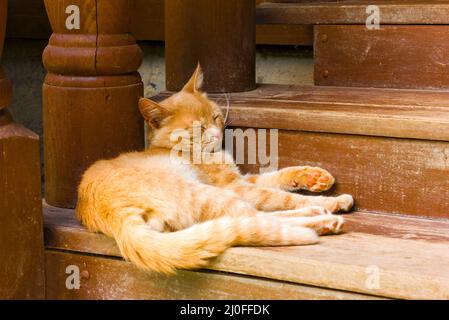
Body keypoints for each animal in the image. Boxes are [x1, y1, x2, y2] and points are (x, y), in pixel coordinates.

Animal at [76, 65, 354, 276]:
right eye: (198, 128)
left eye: (216, 117)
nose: (218, 134)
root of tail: (107, 213)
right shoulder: (236, 186)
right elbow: (281, 196)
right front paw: (329, 200)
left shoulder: (243, 179)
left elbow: (278, 177)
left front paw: (315, 177)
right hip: (209, 194)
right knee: (258, 218)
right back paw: (323, 217)